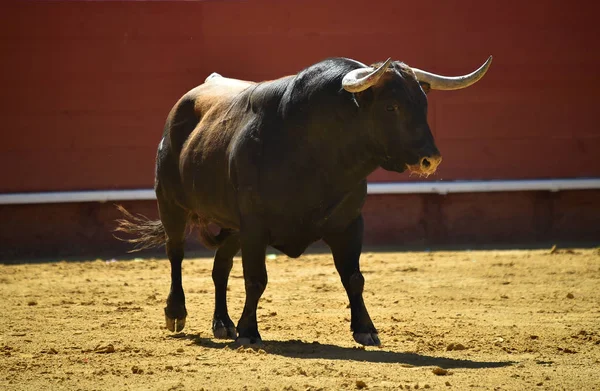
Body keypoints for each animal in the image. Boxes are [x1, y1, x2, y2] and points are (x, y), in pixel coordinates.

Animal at [116, 56, 492, 346]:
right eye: (391, 106)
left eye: (423, 105)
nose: (431, 160)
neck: (315, 151)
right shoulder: (255, 227)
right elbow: (256, 279)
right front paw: (250, 332)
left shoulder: (349, 223)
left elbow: (354, 277)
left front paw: (366, 330)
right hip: (171, 203)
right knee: (176, 254)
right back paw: (176, 314)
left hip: (231, 225)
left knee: (219, 267)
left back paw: (222, 324)